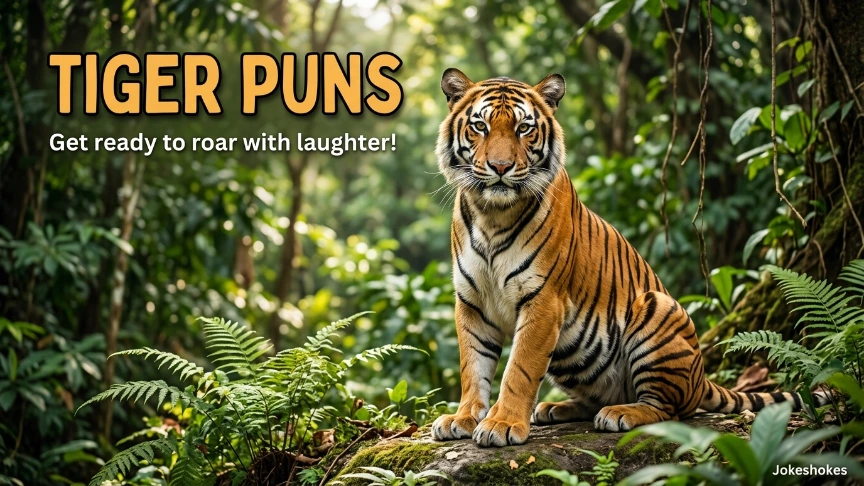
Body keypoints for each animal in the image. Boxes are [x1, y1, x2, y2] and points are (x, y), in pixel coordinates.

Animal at [430, 68, 818, 447]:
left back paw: (621, 414)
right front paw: (462, 418)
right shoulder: (472, 301)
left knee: (670, 410)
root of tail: (701, 376)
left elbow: (520, 370)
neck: (492, 214)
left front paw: (502, 424)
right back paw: (555, 408)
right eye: (480, 126)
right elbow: (473, 367)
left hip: (656, 307)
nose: (500, 167)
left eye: (523, 128)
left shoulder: (543, 301)